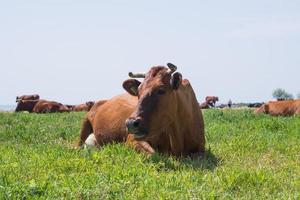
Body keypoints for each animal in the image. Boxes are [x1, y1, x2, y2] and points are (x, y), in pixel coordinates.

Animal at [77, 63, 205, 157]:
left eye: (161, 90)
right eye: (138, 91)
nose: (130, 123)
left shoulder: (201, 149)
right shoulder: (131, 140)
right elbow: (152, 154)